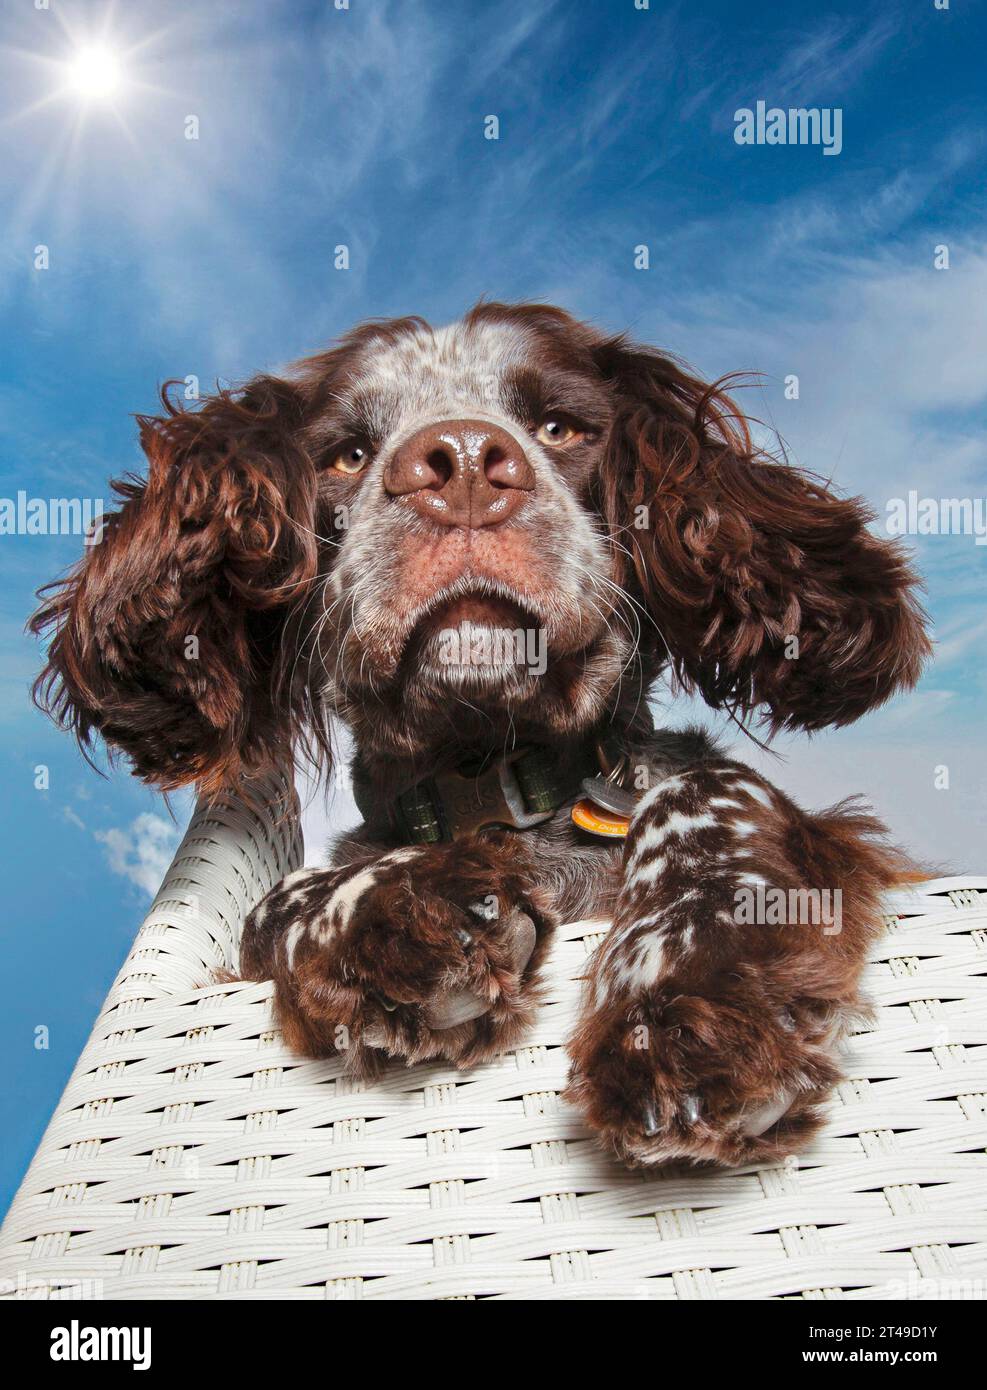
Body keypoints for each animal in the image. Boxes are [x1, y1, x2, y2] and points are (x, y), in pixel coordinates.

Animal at [30, 301, 934, 1162]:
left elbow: (712, 795)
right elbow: (279, 902)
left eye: (559, 428)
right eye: (346, 454)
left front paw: (689, 996)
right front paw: (387, 911)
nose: (461, 462)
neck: (495, 782)